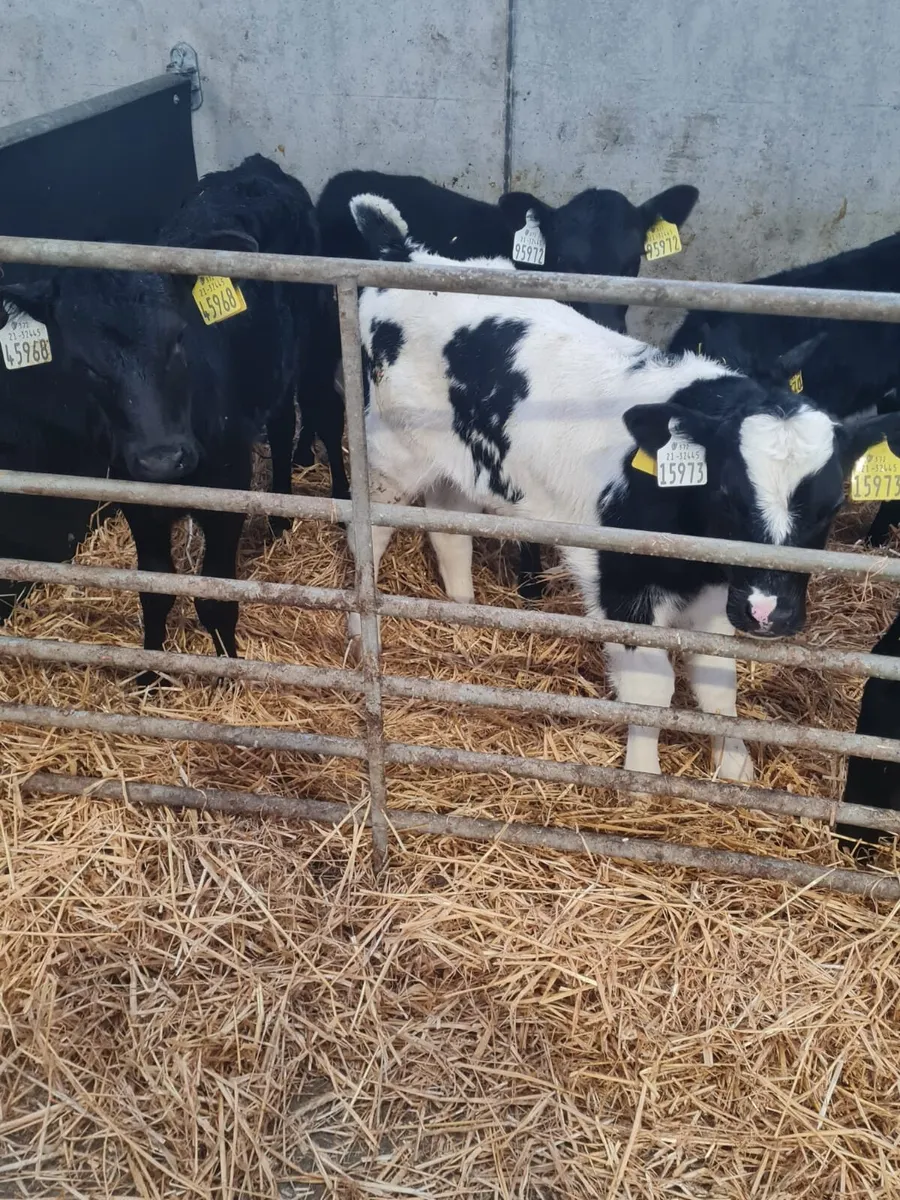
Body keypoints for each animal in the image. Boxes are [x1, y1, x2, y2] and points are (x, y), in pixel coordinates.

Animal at [0, 155, 318, 676]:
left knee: (282, 423)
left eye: (178, 339)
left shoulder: (227, 485)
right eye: (86, 365)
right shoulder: (136, 497)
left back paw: (279, 516)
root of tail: (255, 167)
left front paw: (228, 669)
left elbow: (214, 596)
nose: (163, 459)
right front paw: (150, 673)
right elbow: (154, 590)